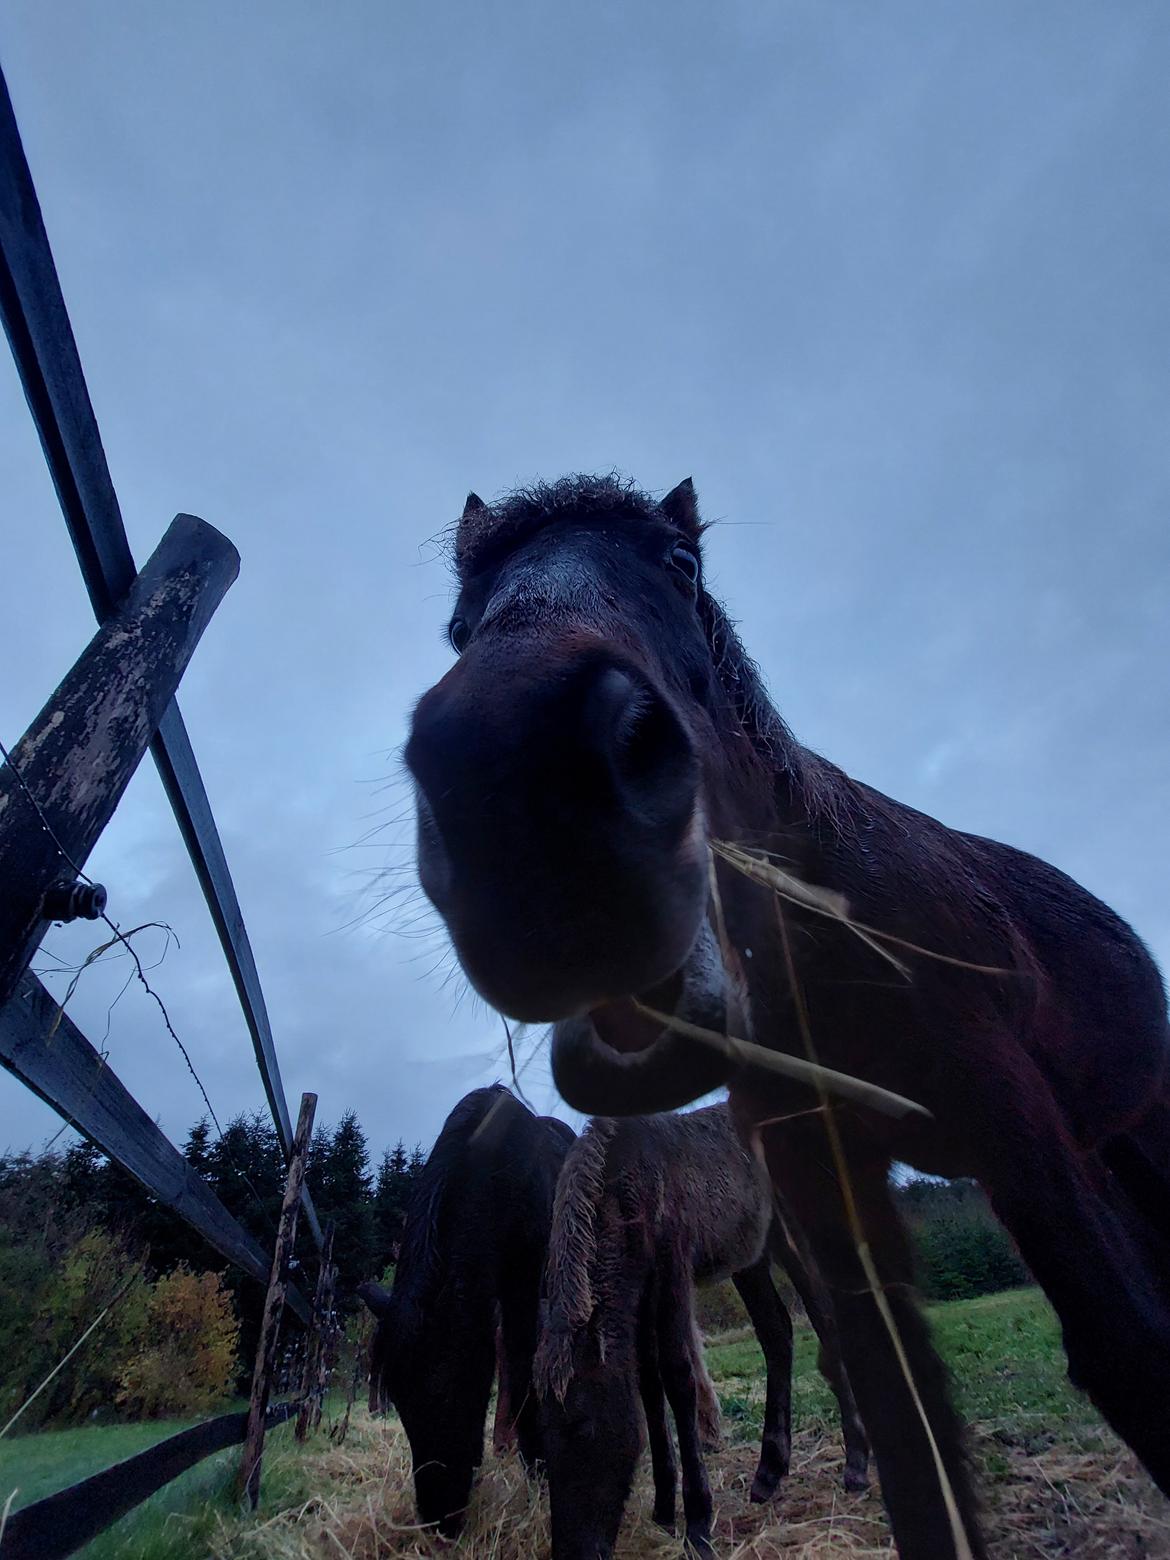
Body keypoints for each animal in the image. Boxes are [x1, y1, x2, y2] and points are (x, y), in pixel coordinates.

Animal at [360, 1085, 574, 1535]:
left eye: (448, 1392)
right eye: (398, 1402)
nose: (439, 1517)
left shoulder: (525, 1279)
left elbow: (523, 1365)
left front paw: (541, 1468)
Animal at [536, 1104, 867, 1553]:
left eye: (582, 1426)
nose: (574, 1550)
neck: (628, 1185)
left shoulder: (672, 1272)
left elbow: (679, 1379)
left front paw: (697, 1521)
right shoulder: (641, 1293)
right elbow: (648, 1387)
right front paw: (663, 1509)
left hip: (794, 1237)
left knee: (826, 1324)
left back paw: (856, 1464)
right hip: (752, 1257)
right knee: (777, 1333)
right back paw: (769, 1473)